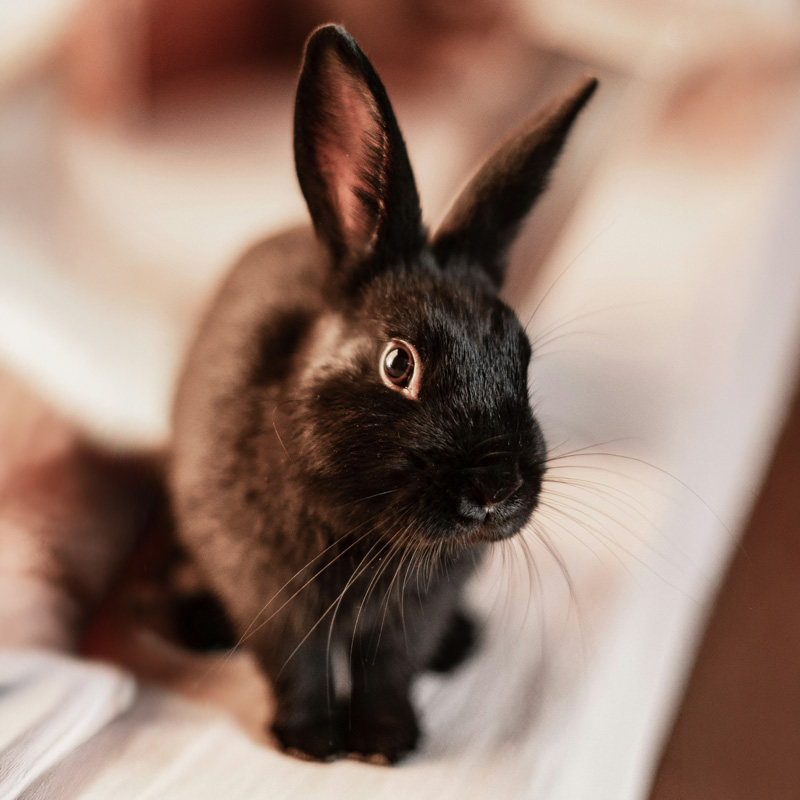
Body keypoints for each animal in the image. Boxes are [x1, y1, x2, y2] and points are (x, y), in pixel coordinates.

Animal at [169, 23, 596, 764]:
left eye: (523, 358)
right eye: (399, 364)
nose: (496, 488)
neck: (372, 528)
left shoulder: (411, 616)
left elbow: (389, 667)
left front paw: (385, 744)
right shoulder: (273, 603)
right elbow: (298, 668)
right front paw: (310, 744)